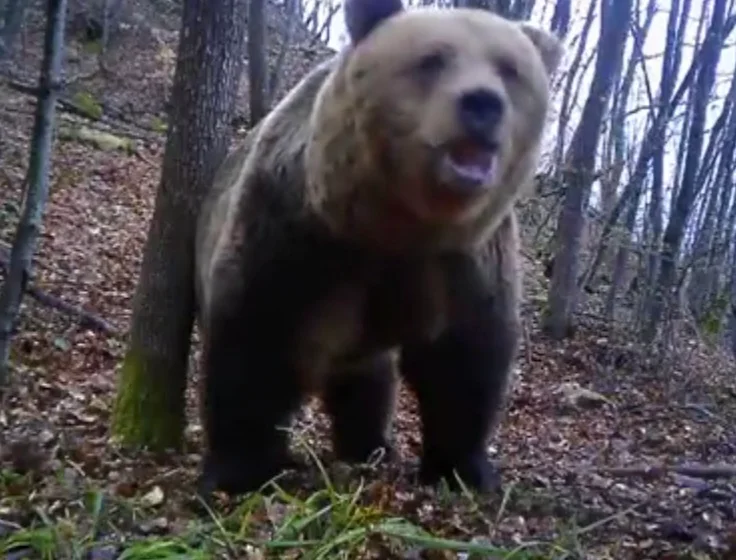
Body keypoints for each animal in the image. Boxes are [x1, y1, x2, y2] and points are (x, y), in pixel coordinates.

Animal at [194, 0, 563, 497]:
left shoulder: (463, 261)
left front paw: (464, 470)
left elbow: (465, 361)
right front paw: (239, 470)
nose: (483, 104)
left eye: (510, 69)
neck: (393, 225)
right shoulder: (296, 231)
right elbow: (256, 335)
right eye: (432, 59)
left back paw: (370, 447)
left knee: (368, 384)